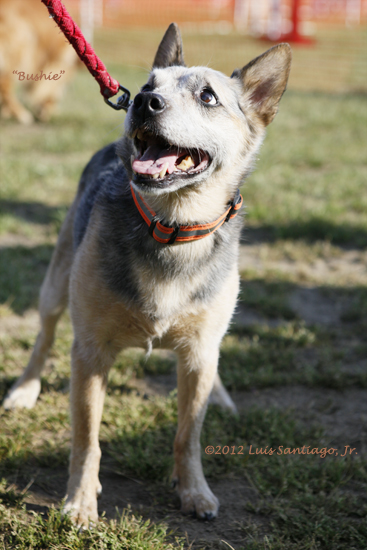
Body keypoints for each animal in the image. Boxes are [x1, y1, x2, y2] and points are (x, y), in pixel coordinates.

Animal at [1, 24, 292, 528]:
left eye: (208, 96)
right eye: (150, 84)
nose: (141, 101)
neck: (171, 228)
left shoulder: (197, 352)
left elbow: (188, 434)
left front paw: (194, 491)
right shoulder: (91, 352)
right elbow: (86, 439)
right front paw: (80, 502)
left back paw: (221, 397)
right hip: (55, 286)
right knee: (44, 337)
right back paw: (25, 389)